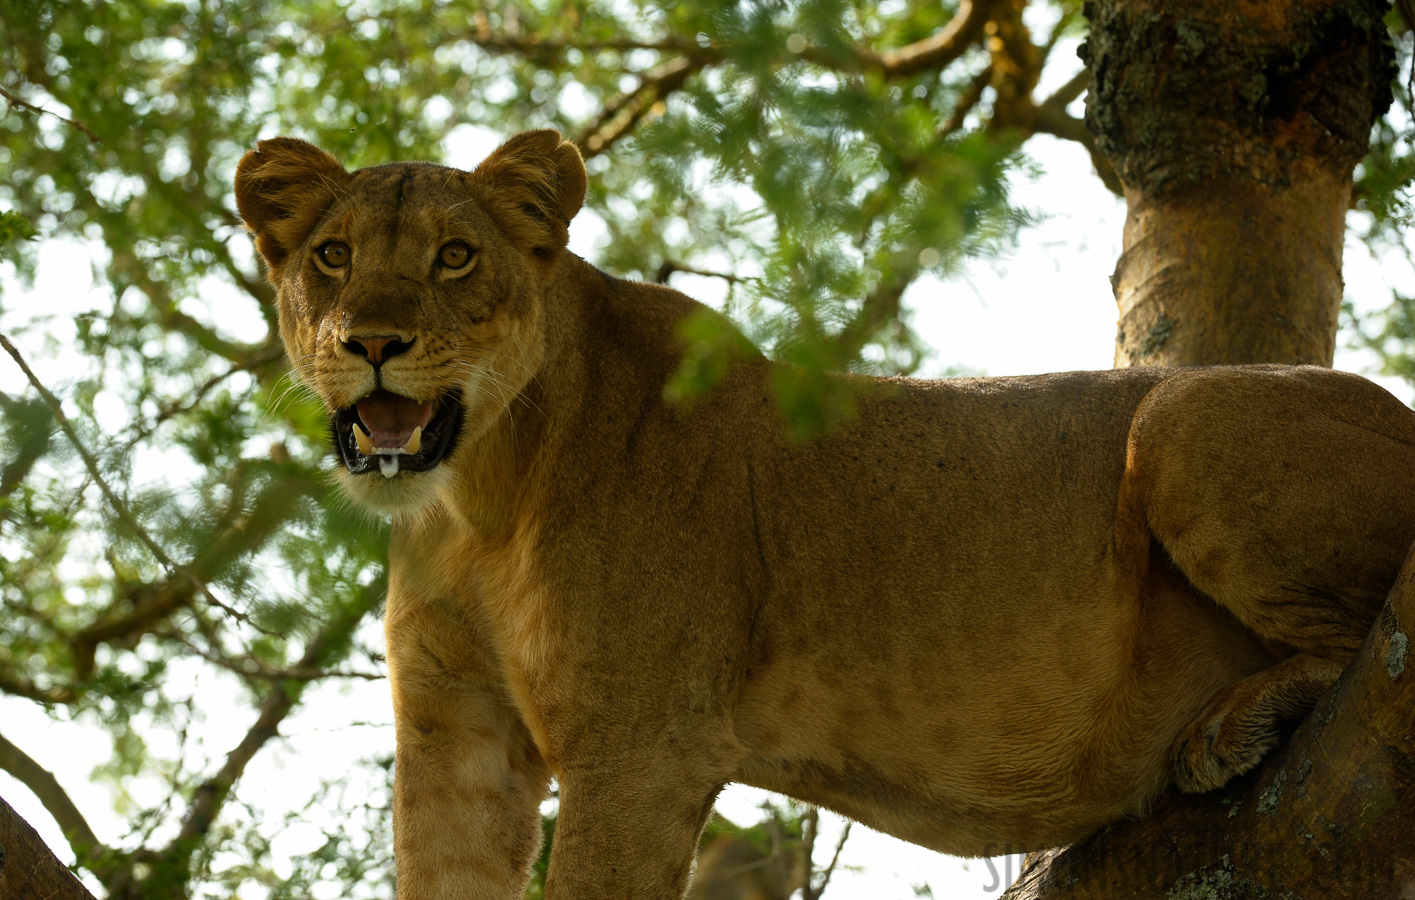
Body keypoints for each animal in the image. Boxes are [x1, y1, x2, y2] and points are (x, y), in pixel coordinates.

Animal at [237, 130, 1415, 894]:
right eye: (332, 256)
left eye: (455, 256)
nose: (371, 342)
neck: (475, 500)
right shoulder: (456, 737)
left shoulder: (640, 751)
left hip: (1180, 416)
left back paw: (1232, 723)